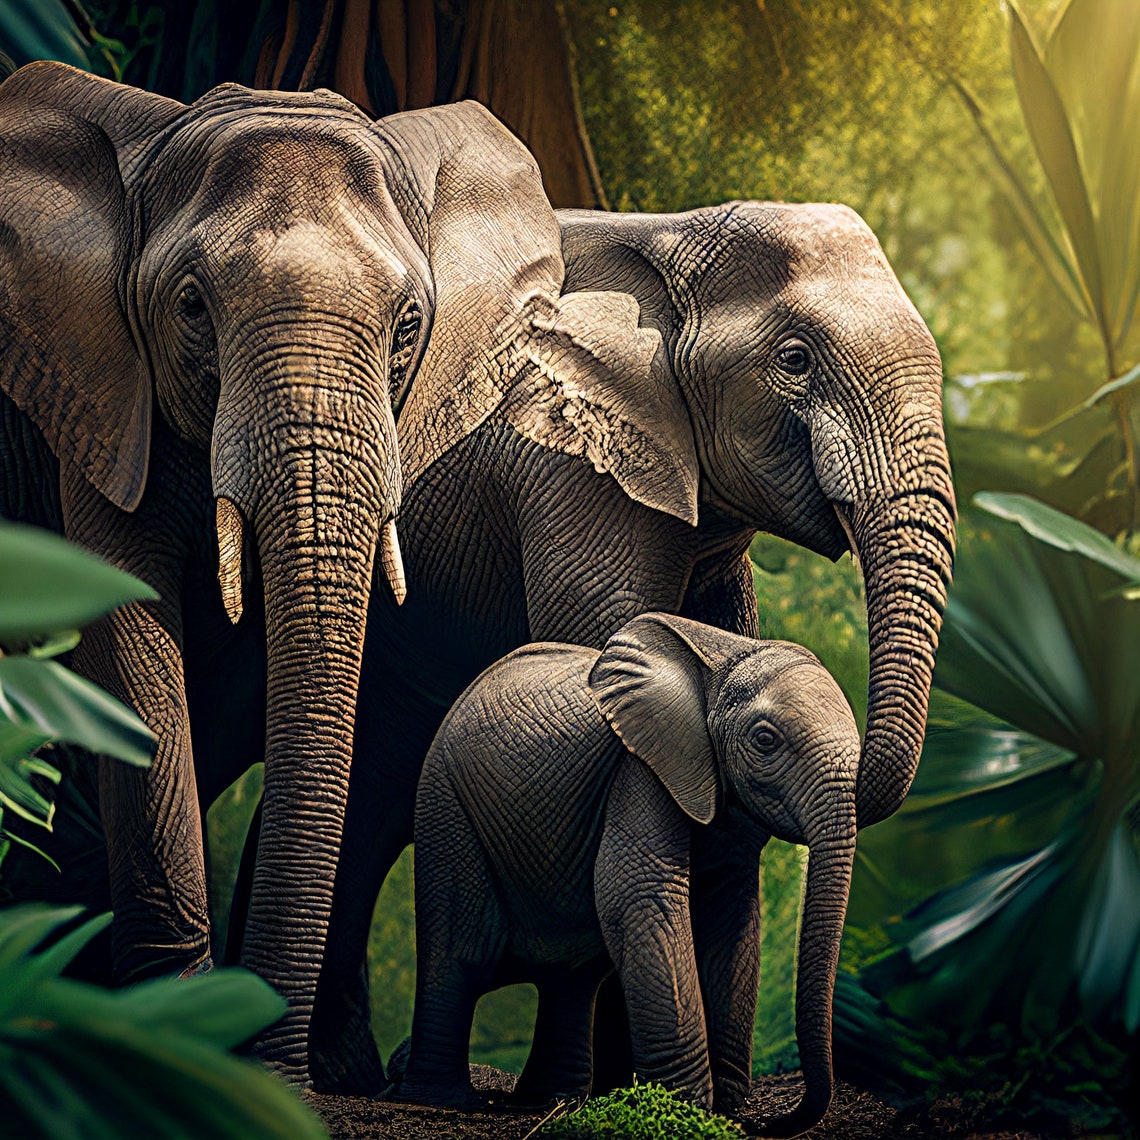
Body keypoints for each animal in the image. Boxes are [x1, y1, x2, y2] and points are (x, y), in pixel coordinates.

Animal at [0, 60, 581, 1081]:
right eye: (192, 306)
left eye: (409, 323)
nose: (275, 1067)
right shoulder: (101, 393)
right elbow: (132, 644)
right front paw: (176, 1042)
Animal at [396, 613, 860, 1139]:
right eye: (765, 740)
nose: (769, 1124)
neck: (726, 655)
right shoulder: (639, 767)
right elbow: (639, 895)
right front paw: (685, 1113)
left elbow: (731, 915)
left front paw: (722, 1112)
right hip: (445, 803)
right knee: (462, 951)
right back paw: (441, 1100)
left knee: (571, 974)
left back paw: (550, 1103)